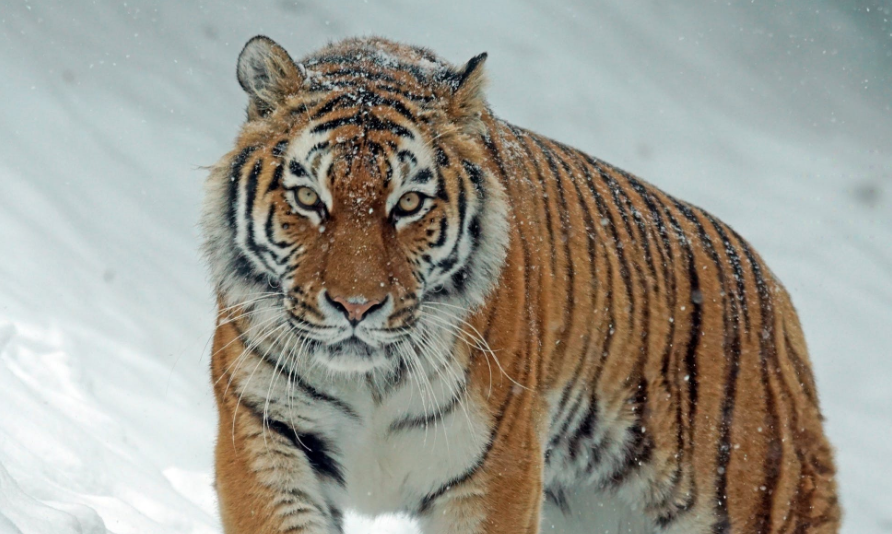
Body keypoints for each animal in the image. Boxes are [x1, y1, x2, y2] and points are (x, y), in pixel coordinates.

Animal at [199, 34, 840, 534]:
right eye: (310, 198)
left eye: (408, 204)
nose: (356, 307)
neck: (371, 382)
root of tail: (779, 301)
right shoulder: (267, 435)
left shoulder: (496, 472)